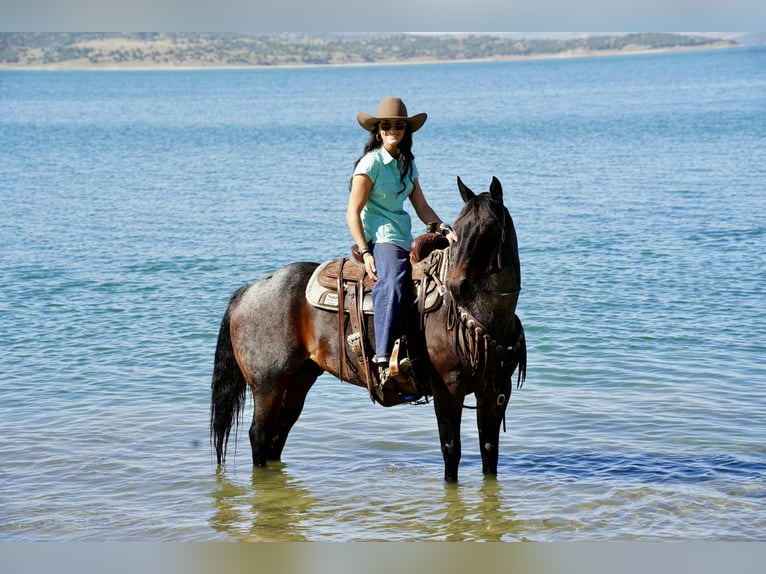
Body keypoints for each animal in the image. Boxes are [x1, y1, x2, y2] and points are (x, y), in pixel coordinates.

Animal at [210, 176, 526, 482]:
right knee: (259, 436)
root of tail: (250, 290)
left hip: (299, 379)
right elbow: (451, 451)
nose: (457, 285)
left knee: (277, 436)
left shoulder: (496, 393)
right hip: (267, 386)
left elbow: (489, 452)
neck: (483, 317)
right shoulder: (448, 388)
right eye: (458, 228)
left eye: (489, 228)